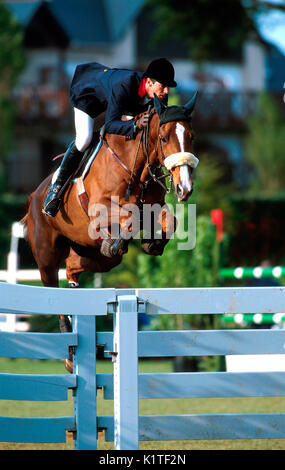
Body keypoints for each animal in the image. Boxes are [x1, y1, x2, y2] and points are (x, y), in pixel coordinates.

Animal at [21, 92, 197, 370]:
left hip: (97, 258)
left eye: (191, 136)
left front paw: (152, 243)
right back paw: (69, 355)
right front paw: (126, 238)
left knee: (73, 266)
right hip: (46, 256)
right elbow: (130, 215)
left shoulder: (155, 206)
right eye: (163, 138)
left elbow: (169, 220)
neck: (135, 165)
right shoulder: (100, 206)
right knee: (53, 292)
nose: (184, 188)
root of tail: (33, 197)